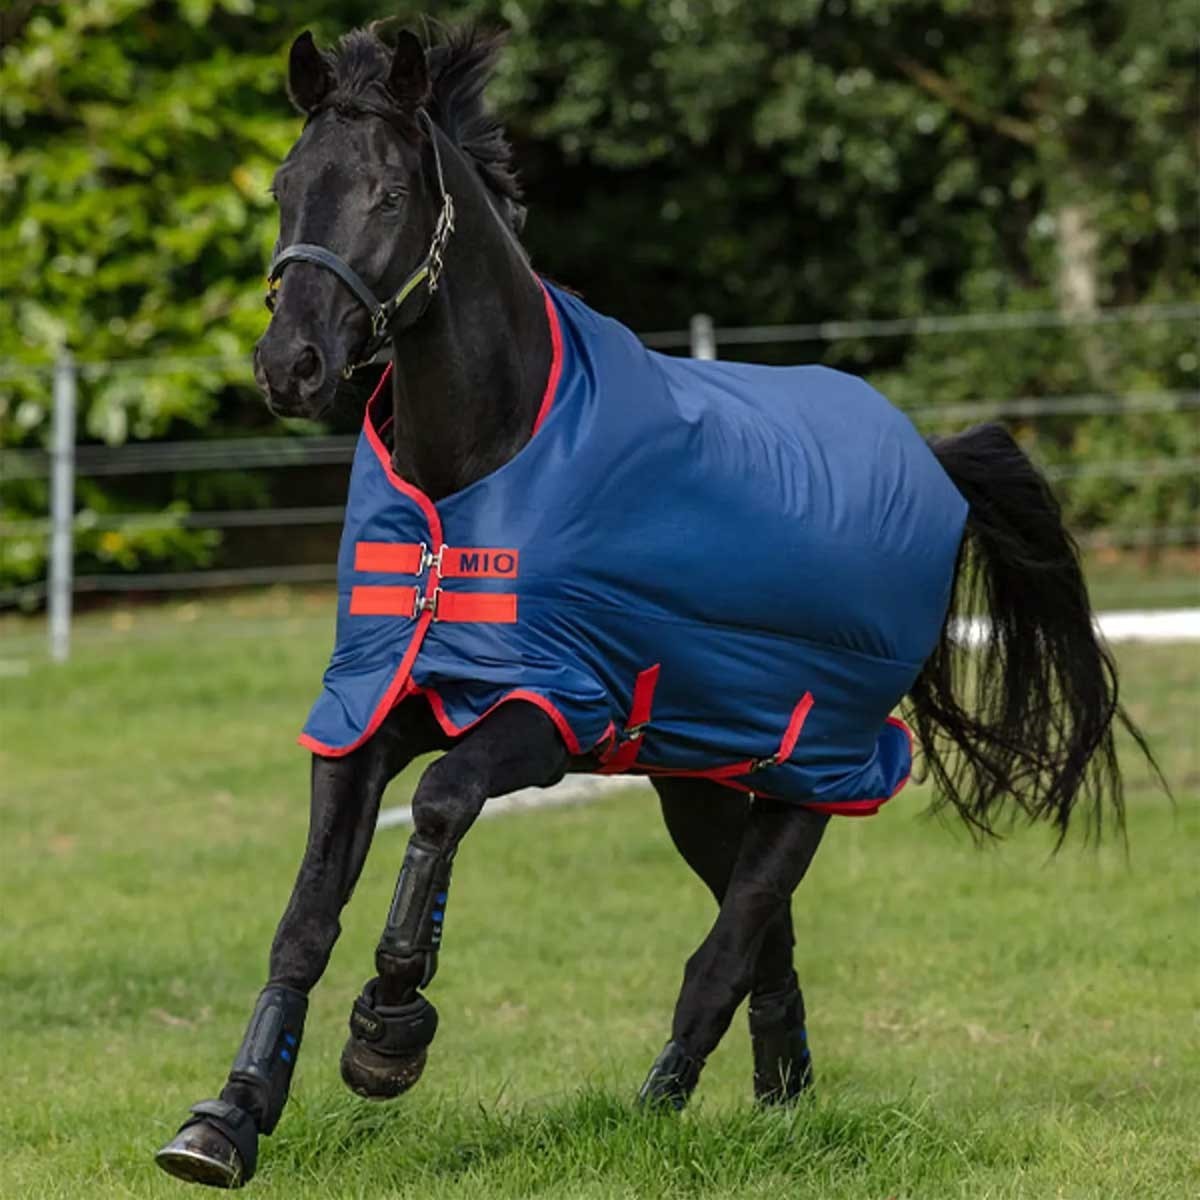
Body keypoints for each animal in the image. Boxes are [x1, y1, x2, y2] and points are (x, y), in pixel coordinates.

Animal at [155, 22, 1158, 1189]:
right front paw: (226, 1119)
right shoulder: (369, 706)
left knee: (730, 943)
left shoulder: (551, 711)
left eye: (392, 192)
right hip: (700, 775)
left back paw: (661, 1104)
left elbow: (443, 804)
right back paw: (782, 1098)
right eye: (285, 187)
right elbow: (306, 914)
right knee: (766, 934)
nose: (292, 366)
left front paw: (387, 1037)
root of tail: (933, 461)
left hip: (821, 768)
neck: (480, 470)